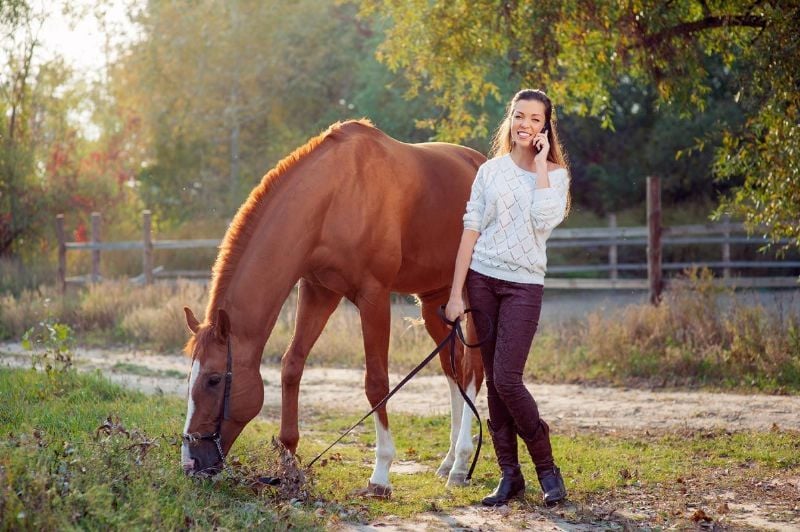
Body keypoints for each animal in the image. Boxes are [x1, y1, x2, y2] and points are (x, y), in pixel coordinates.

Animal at [180, 119, 486, 495]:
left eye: (213, 380)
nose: (190, 463)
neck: (333, 197)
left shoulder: (373, 296)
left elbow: (376, 382)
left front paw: (380, 474)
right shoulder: (318, 291)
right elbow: (292, 365)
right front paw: (288, 461)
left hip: (469, 300)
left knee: (471, 370)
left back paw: (460, 463)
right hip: (434, 304)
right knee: (451, 367)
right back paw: (447, 462)